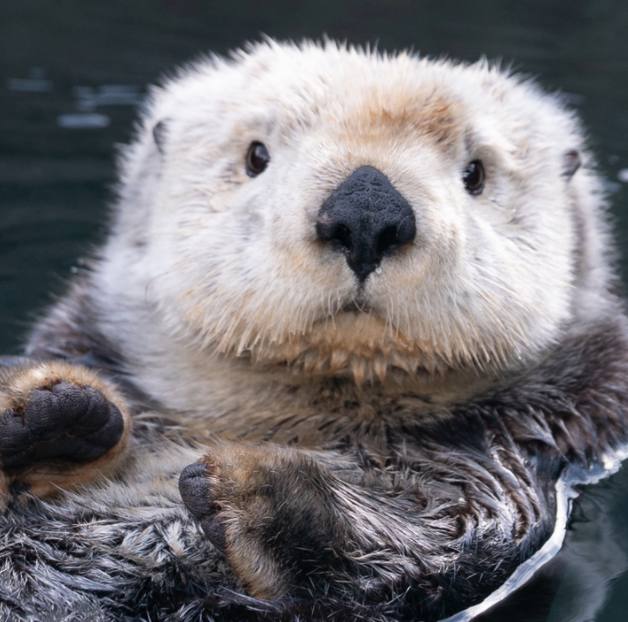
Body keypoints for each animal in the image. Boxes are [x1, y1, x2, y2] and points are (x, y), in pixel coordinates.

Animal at [1, 41, 628, 620]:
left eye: (475, 173)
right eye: (256, 156)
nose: (368, 211)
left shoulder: (505, 461)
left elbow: (425, 540)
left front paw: (256, 492)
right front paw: (49, 410)